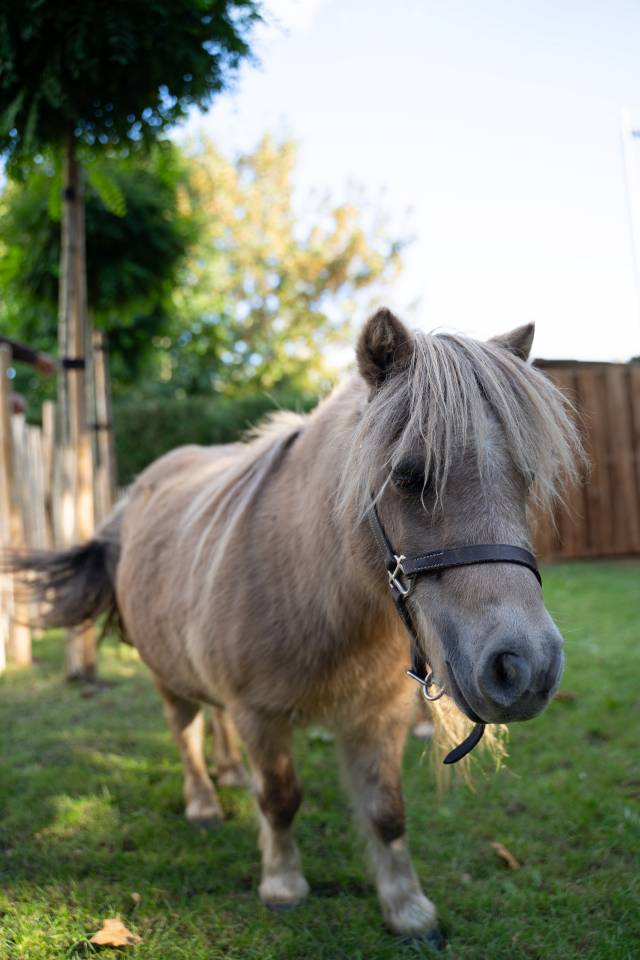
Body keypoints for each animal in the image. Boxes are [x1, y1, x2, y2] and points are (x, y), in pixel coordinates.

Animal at [10, 310, 581, 941]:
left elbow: (387, 812)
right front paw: (283, 885)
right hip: (166, 677)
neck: (317, 590)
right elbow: (281, 799)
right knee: (186, 730)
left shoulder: (378, 717)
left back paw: (232, 774)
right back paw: (205, 801)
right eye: (409, 476)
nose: (524, 666)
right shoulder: (261, 714)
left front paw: (407, 908)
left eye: (525, 480)